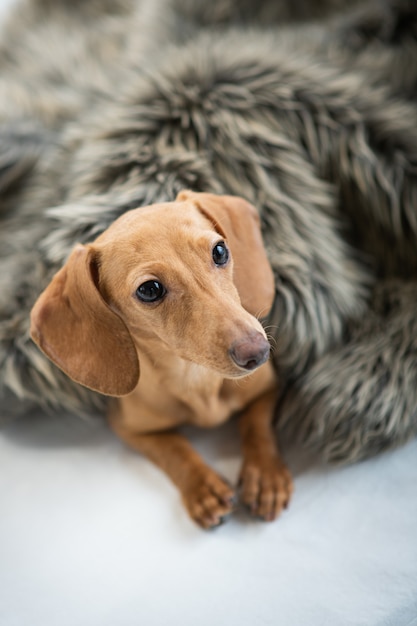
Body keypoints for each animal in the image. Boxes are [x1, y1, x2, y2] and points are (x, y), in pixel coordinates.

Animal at [30, 190, 292, 528]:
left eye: (220, 250)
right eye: (150, 289)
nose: (257, 352)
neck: (196, 378)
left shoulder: (267, 389)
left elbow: (256, 425)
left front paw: (264, 475)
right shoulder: (130, 428)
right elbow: (173, 448)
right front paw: (202, 487)